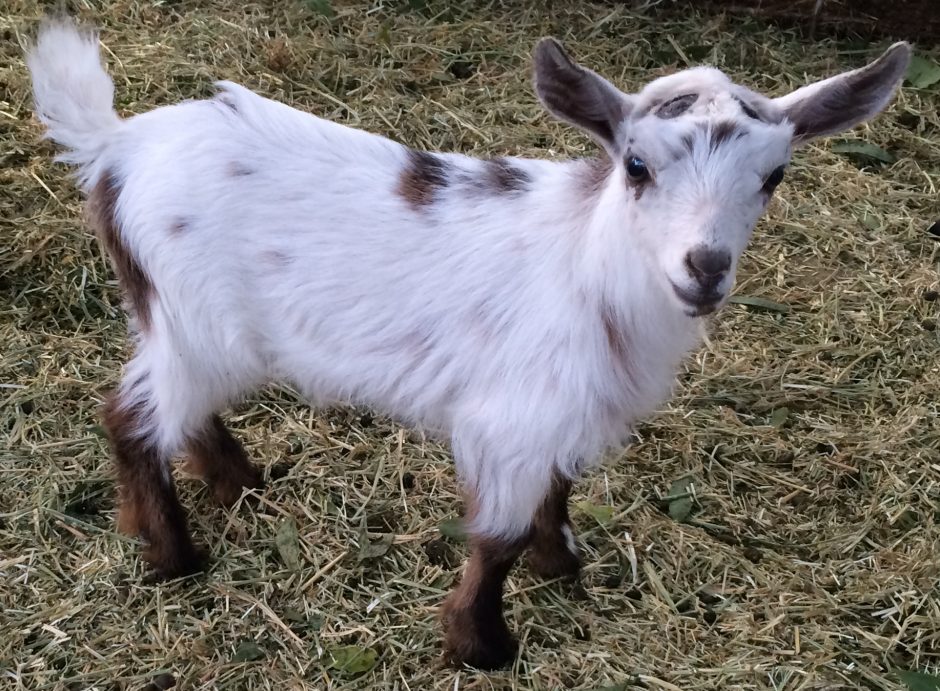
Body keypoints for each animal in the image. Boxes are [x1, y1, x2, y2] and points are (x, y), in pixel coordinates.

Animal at [27, 17, 909, 669]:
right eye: (635, 165)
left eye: (774, 177)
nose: (705, 269)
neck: (589, 266)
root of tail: (115, 147)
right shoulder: (511, 417)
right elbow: (498, 536)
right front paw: (480, 645)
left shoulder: (561, 411)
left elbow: (556, 492)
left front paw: (564, 563)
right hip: (195, 321)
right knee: (131, 418)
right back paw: (175, 555)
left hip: (193, 329)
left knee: (179, 412)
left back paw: (241, 486)